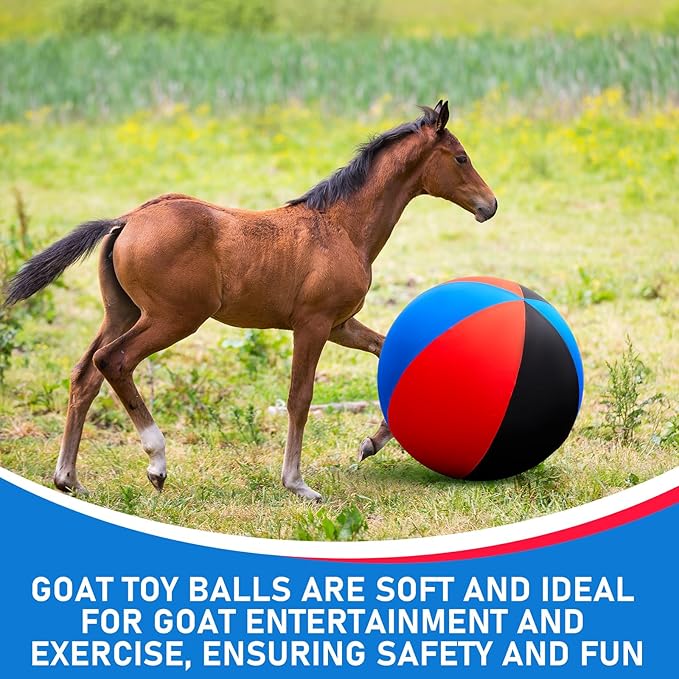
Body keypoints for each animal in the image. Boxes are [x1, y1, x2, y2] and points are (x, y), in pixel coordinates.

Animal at [5, 100, 497, 501]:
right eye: (461, 157)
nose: (489, 205)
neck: (341, 227)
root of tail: (127, 219)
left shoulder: (340, 325)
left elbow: (388, 350)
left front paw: (370, 444)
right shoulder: (313, 324)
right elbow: (300, 397)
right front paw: (297, 484)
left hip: (123, 312)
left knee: (84, 374)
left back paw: (68, 479)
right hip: (173, 318)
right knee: (113, 361)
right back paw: (156, 461)